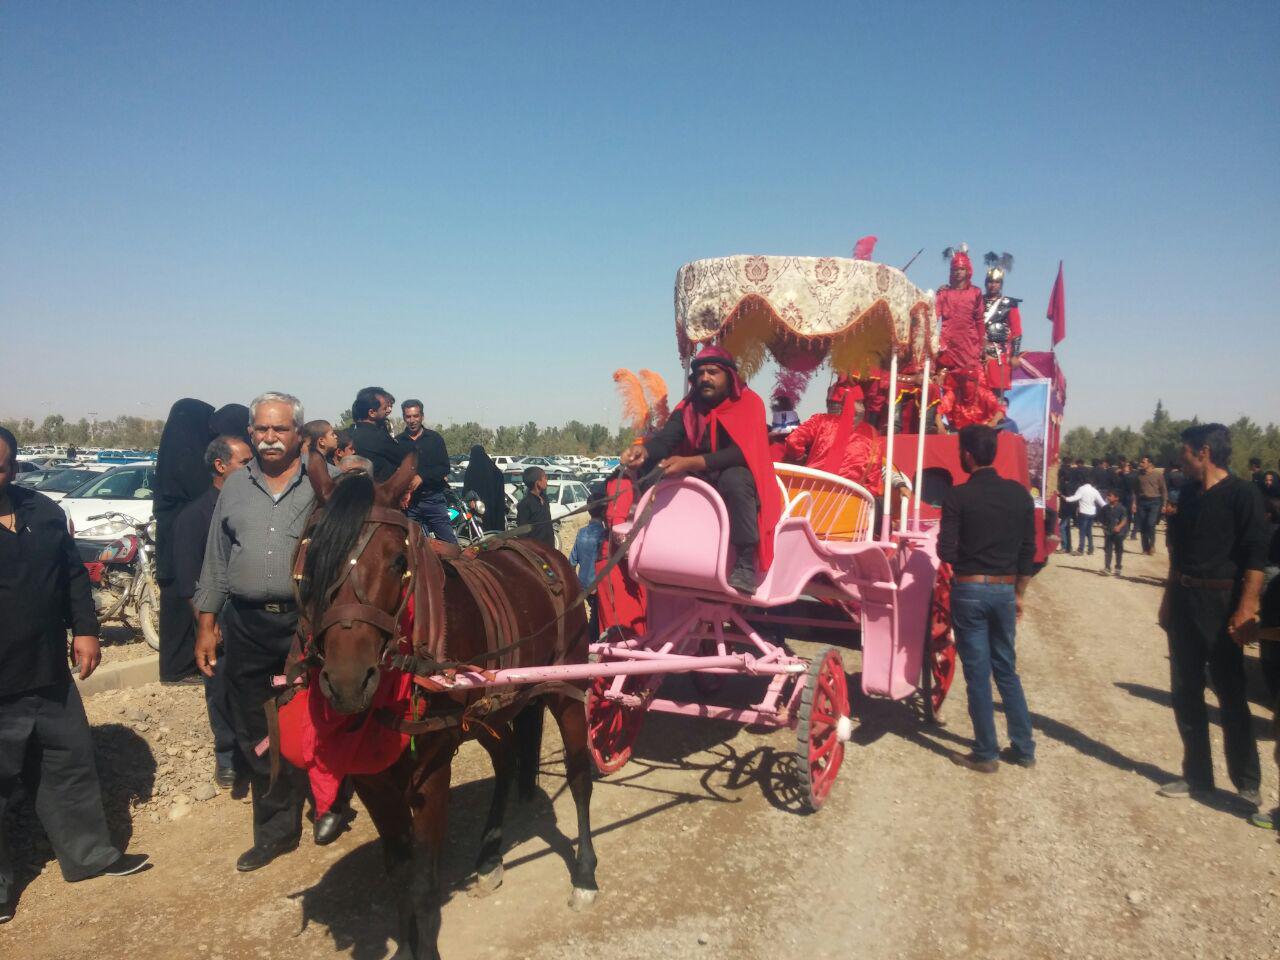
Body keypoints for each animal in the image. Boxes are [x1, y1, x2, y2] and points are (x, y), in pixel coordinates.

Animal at [294, 454, 598, 960]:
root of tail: (546, 554)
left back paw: (586, 873)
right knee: (508, 760)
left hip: (566, 689)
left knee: (578, 777)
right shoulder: (373, 780)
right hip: (489, 711)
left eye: (398, 561)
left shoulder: (432, 771)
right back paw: (491, 855)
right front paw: (406, 945)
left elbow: (423, 882)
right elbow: (398, 874)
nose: (348, 682)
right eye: (311, 557)